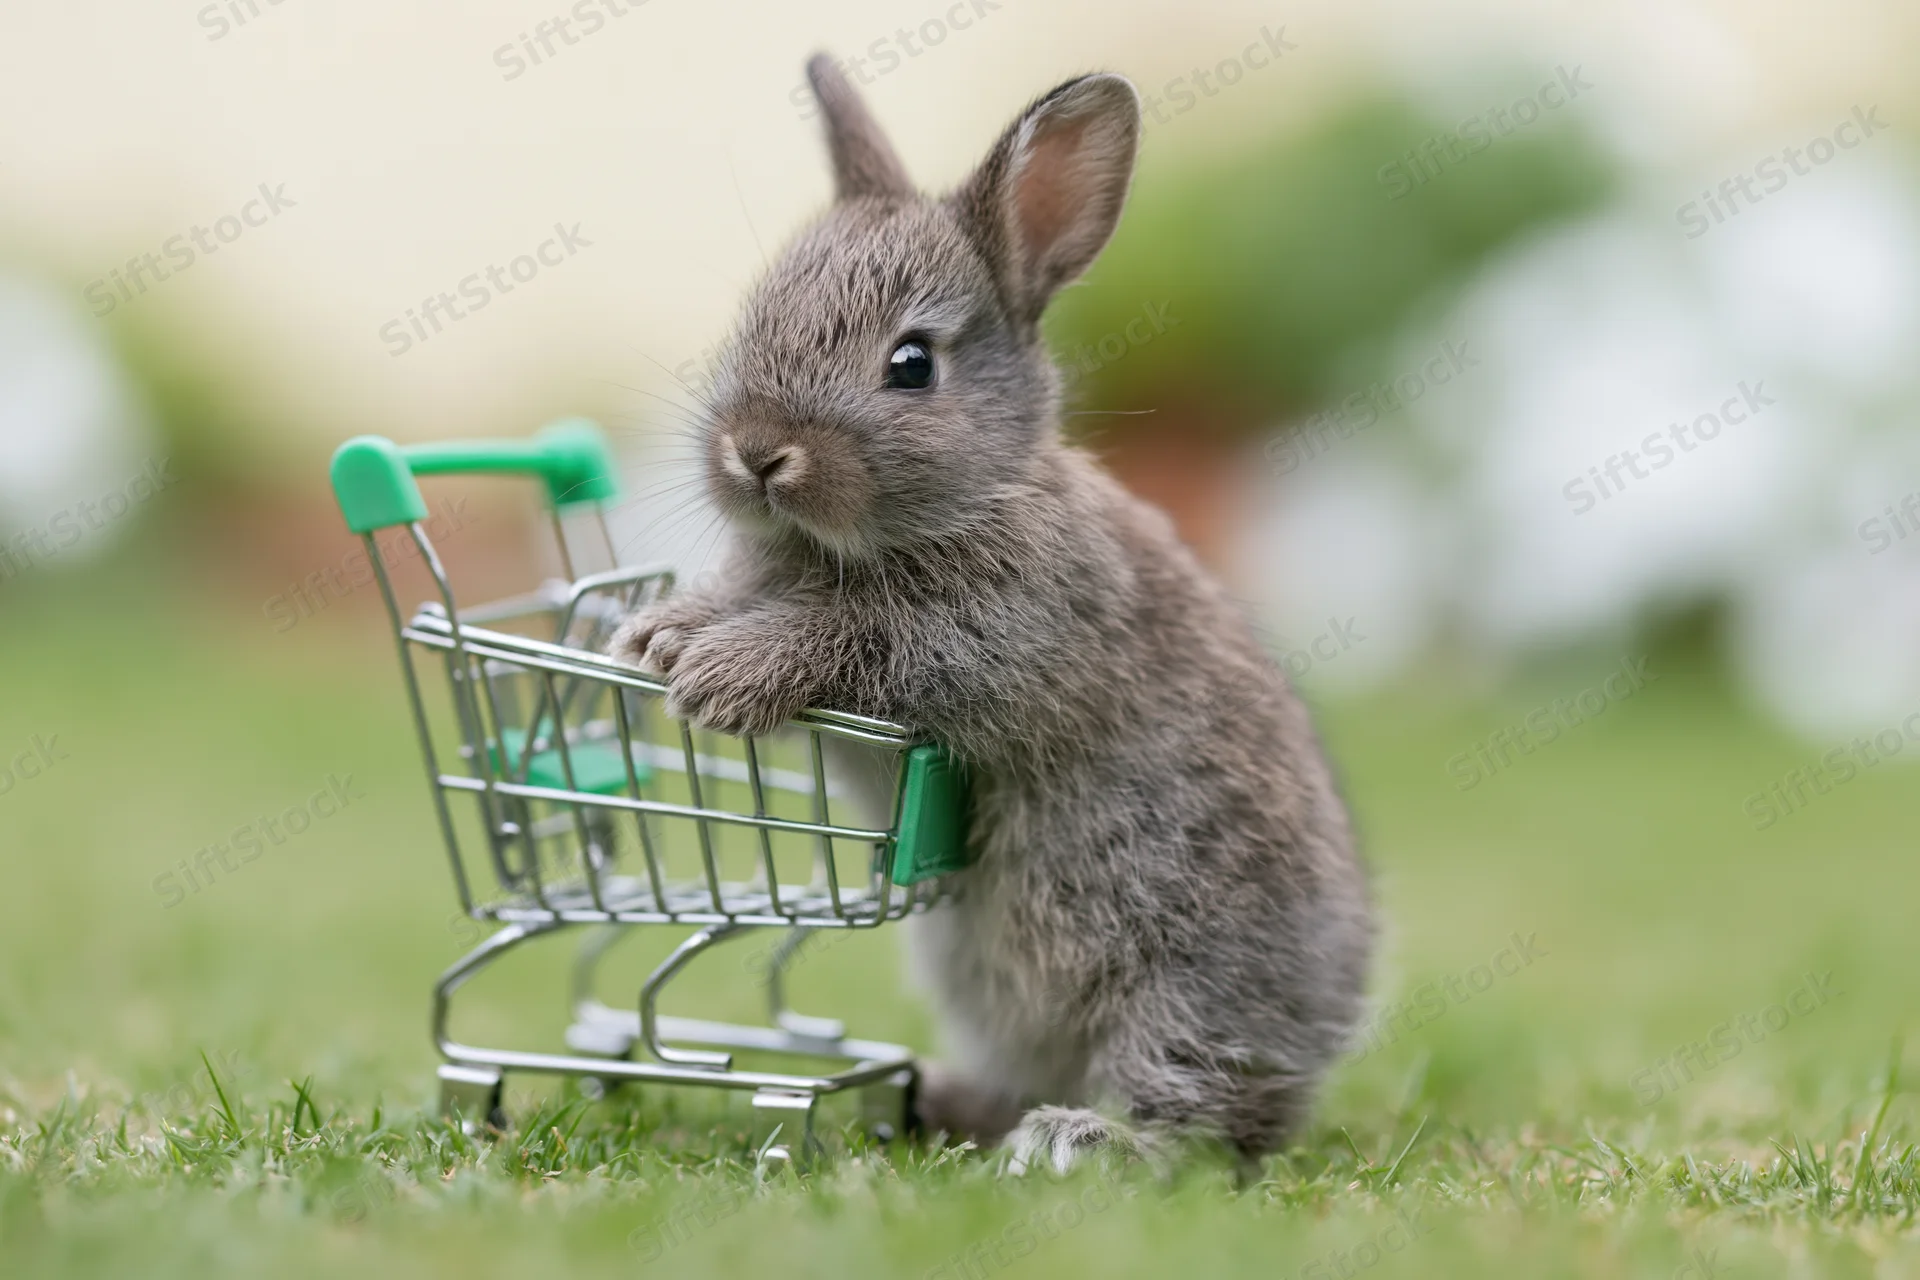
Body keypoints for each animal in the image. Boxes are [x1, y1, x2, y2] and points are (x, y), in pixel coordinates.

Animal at [611, 53, 1373, 1173]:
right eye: (753, 318)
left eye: (912, 364)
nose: (756, 452)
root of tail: (1330, 1027)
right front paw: (659, 632)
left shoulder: (1008, 629)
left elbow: (864, 639)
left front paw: (723, 671)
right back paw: (943, 1101)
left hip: (1184, 984)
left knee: (1192, 1118)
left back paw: (1079, 1139)